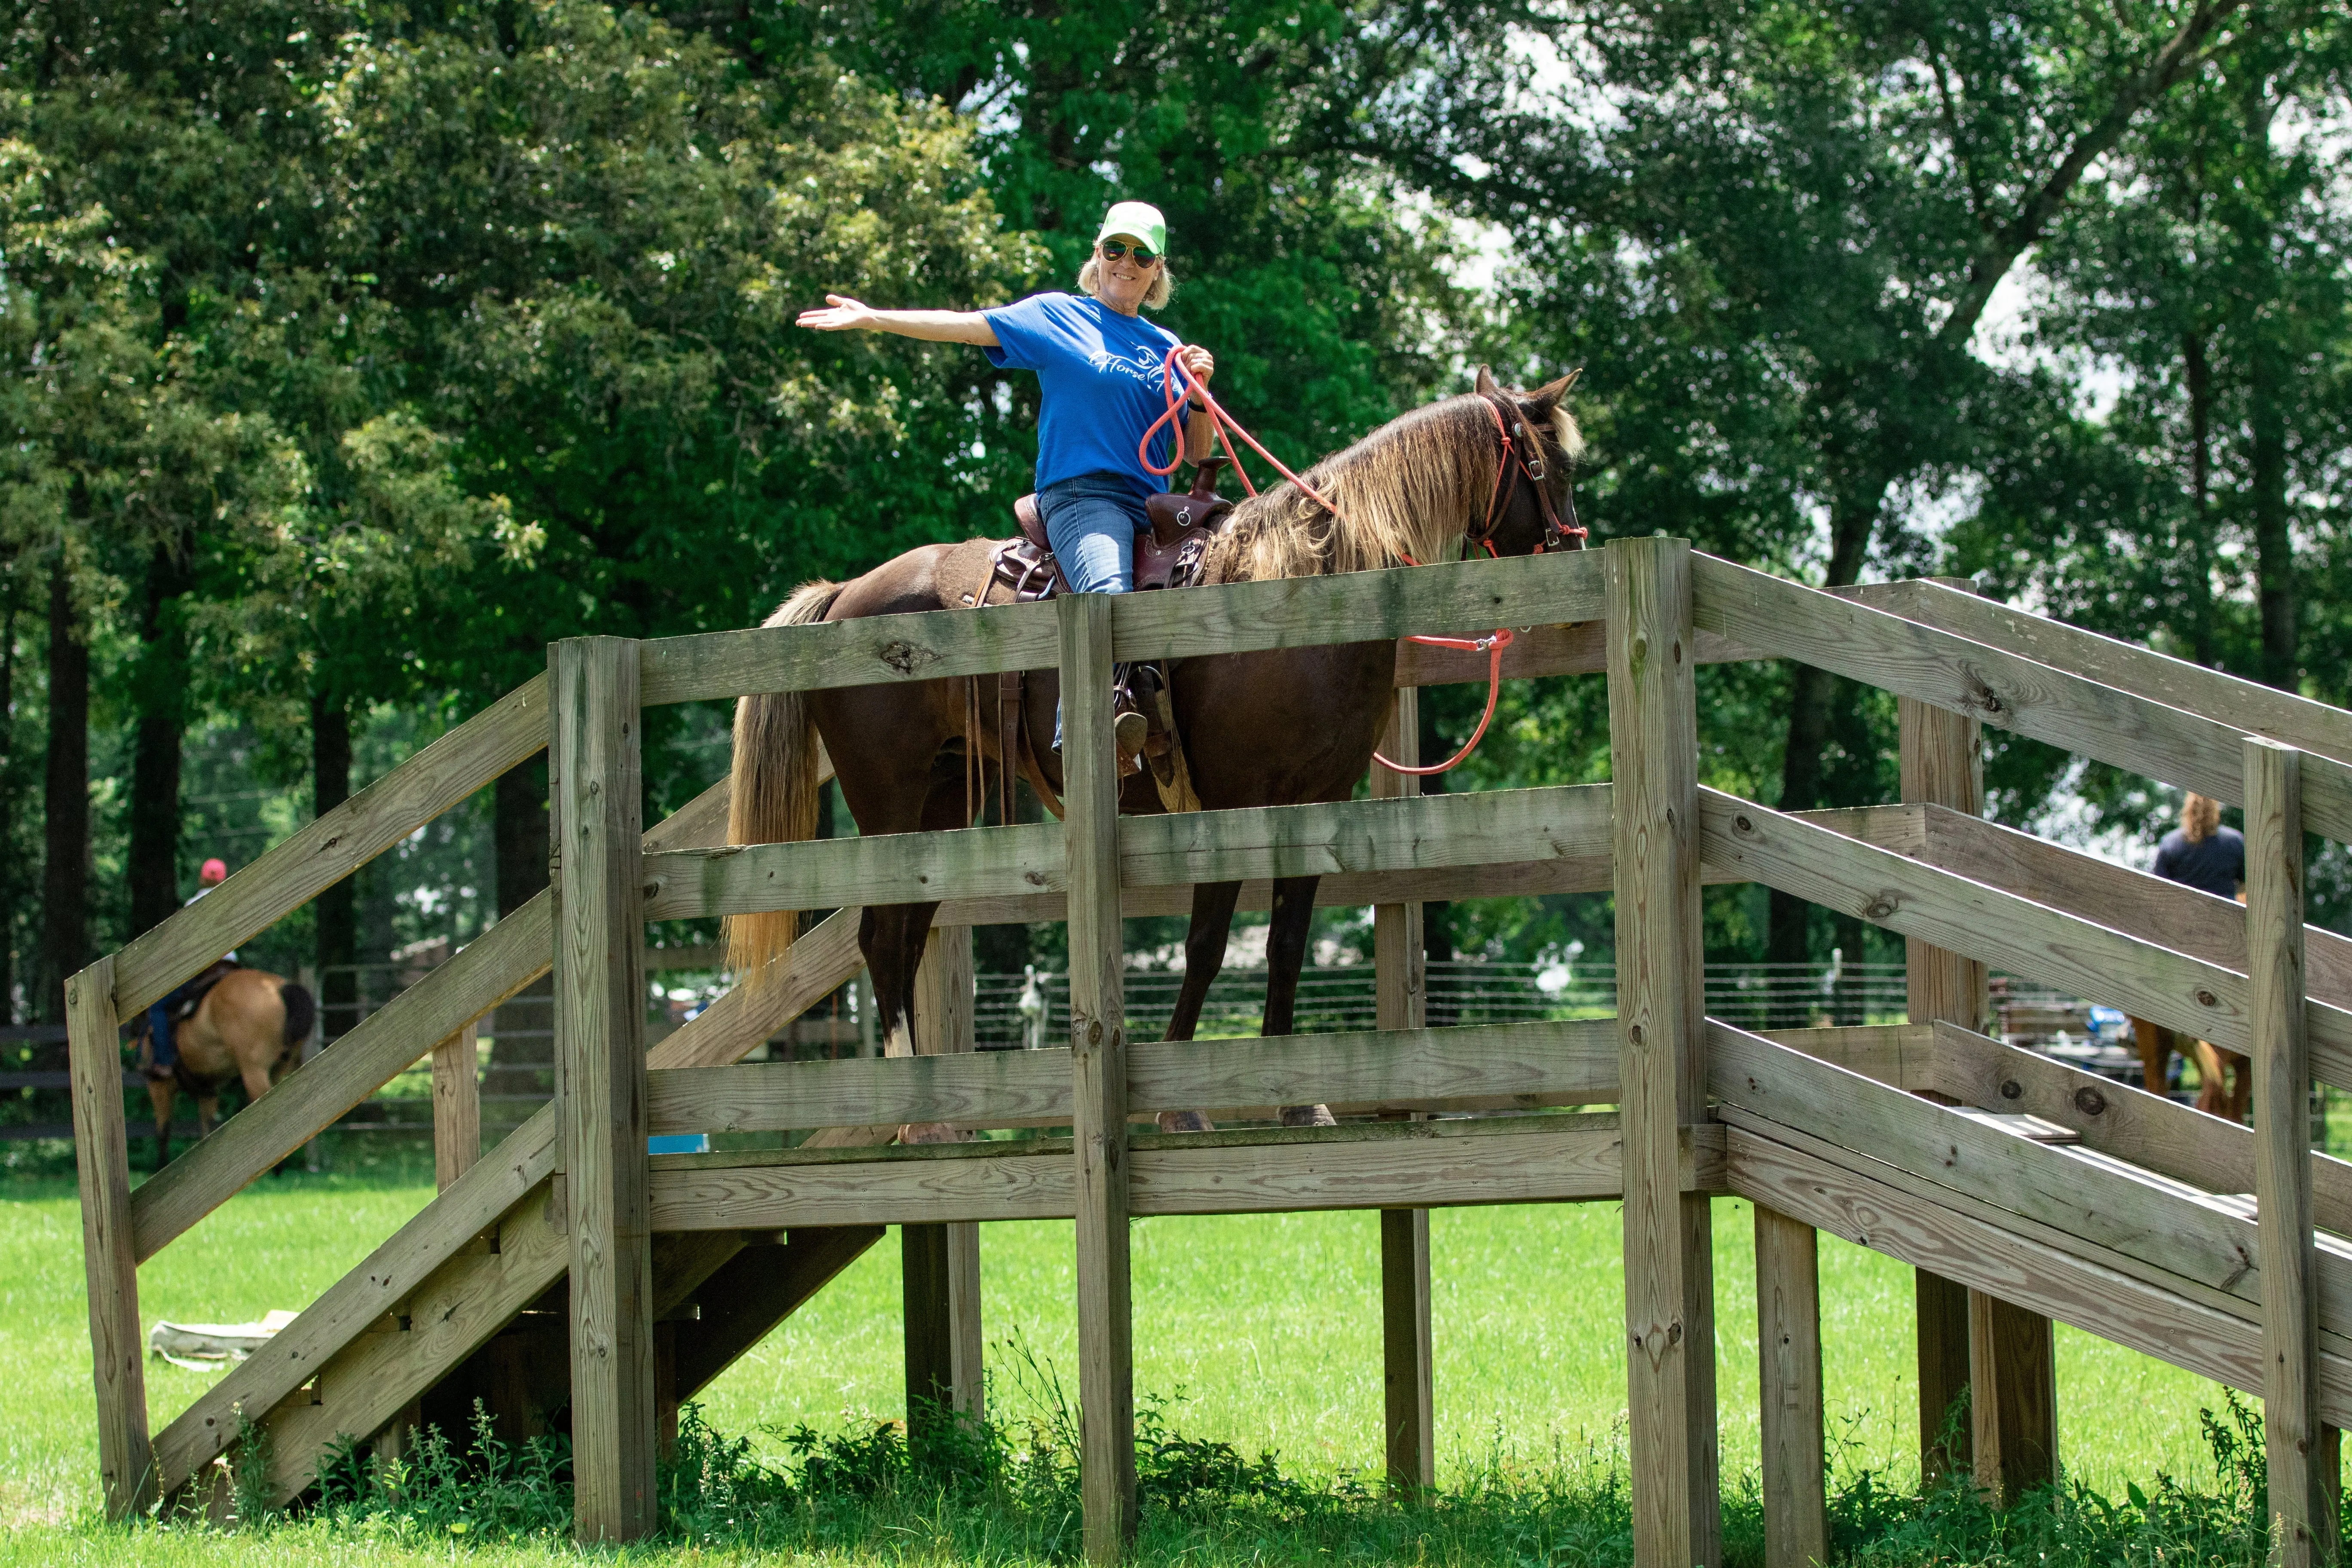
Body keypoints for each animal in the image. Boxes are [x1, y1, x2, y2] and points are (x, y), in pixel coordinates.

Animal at [138, 964, 317, 1170]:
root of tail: (278, 988)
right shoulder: (208, 1091)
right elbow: (207, 1129)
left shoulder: (158, 1086)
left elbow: (163, 1132)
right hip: (281, 1069)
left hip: (254, 1070)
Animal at [724, 371, 1590, 1128]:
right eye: (1551, 465)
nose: (1573, 557)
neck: (1298, 596)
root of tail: (846, 594)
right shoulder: (1230, 800)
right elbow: (1206, 946)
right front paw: (1180, 1100)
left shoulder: (1316, 800)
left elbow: (1285, 945)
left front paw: (1296, 1100)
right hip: (892, 803)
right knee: (880, 939)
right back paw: (916, 1117)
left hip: (939, 809)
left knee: (902, 939)